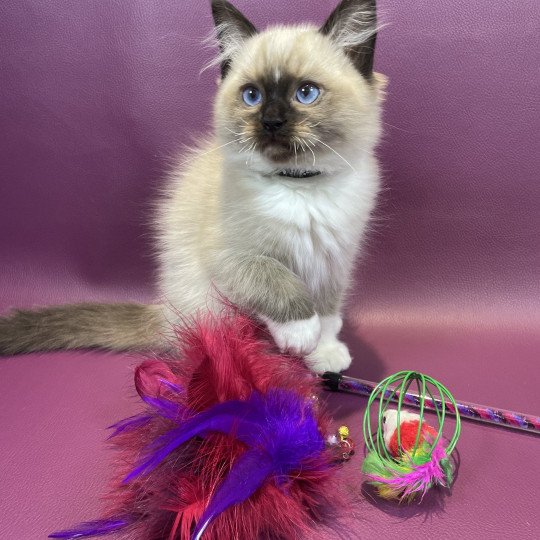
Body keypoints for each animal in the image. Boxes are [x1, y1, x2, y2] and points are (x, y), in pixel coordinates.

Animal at [1, 0, 388, 374]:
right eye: (252, 96)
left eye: (305, 93)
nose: (271, 122)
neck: (299, 185)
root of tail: (166, 311)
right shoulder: (234, 257)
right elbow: (278, 283)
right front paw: (301, 334)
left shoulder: (334, 260)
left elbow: (328, 313)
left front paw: (324, 353)